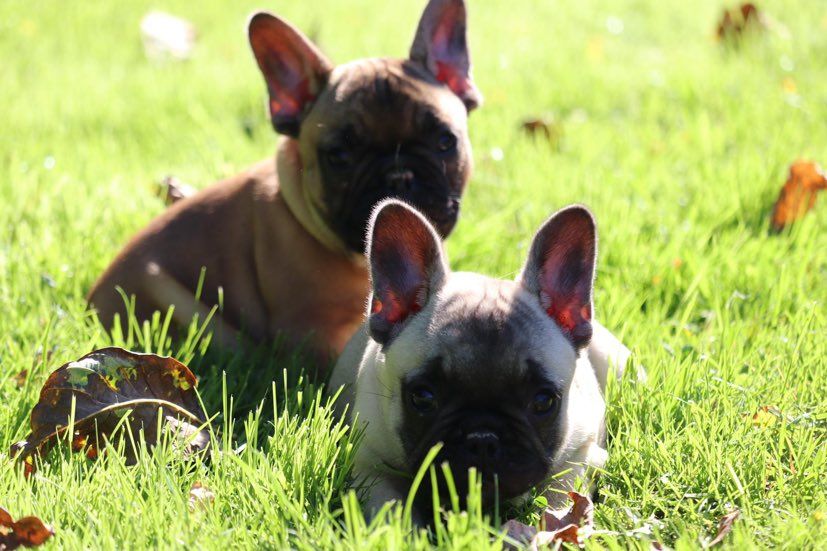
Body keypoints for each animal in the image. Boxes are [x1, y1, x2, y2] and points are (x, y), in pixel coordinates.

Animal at [330, 201, 628, 520]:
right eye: (422, 398)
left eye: (543, 401)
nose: (483, 438)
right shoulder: (370, 467)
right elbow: (391, 508)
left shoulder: (581, 456)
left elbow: (559, 500)